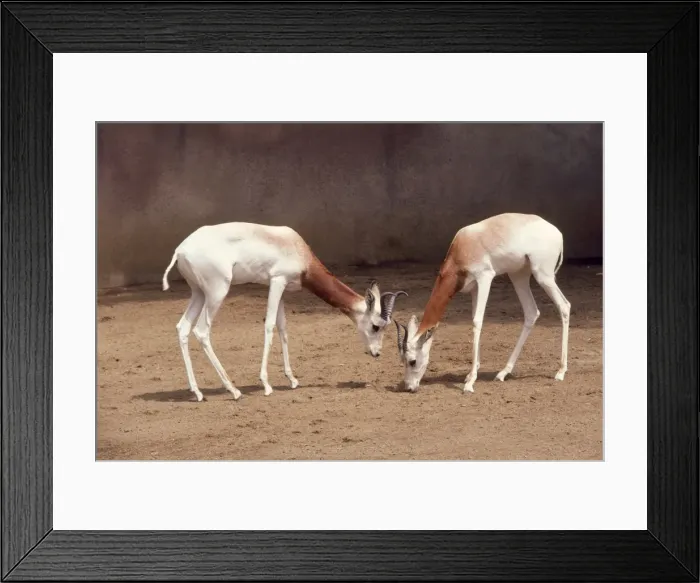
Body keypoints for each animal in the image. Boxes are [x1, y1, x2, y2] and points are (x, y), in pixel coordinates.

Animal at [162, 222, 407, 401]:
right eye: (375, 326)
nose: (377, 353)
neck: (297, 249)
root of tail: (180, 250)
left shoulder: (281, 287)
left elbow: (283, 328)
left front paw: (292, 379)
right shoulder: (277, 281)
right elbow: (270, 326)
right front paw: (266, 384)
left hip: (198, 293)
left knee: (183, 327)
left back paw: (197, 392)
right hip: (217, 291)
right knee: (202, 330)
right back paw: (233, 390)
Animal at [394, 213, 570, 393]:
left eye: (412, 361)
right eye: (402, 360)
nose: (409, 387)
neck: (463, 248)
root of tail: (557, 232)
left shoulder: (485, 278)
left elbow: (477, 322)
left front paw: (470, 382)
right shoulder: (473, 288)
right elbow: (474, 321)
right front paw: (471, 374)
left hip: (543, 276)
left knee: (564, 306)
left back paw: (560, 371)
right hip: (518, 275)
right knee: (531, 312)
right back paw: (503, 372)